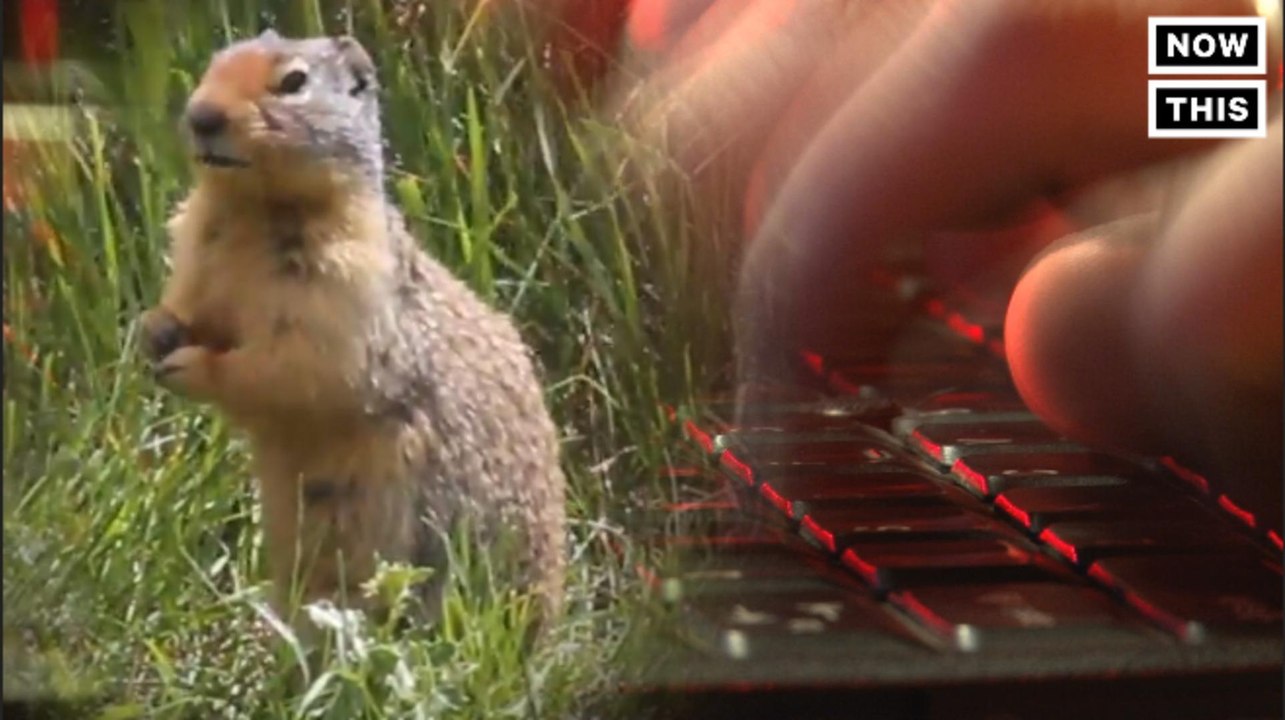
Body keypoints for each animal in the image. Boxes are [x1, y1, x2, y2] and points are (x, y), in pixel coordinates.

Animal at [138, 30, 566, 632]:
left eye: (294, 81)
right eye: (215, 63)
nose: (201, 116)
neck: (256, 211)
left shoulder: (342, 287)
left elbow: (296, 365)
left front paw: (191, 366)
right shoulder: (201, 254)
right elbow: (200, 313)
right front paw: (155, 328)